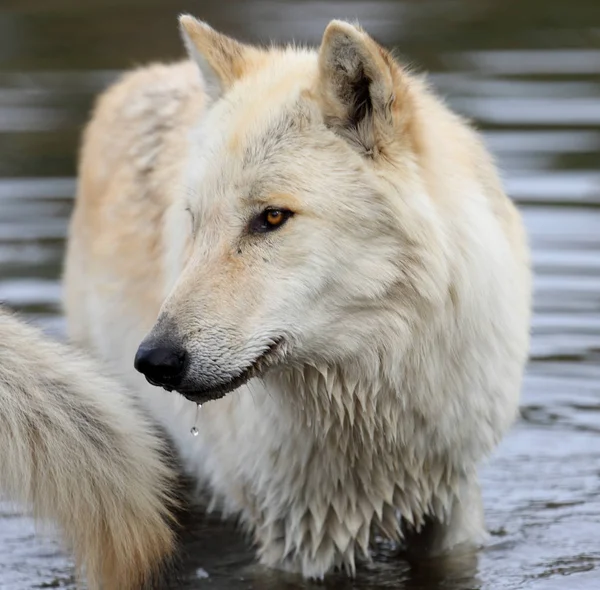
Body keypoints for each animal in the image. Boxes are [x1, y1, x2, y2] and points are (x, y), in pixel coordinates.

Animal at [61, 15, 528, 584]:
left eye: (273, 217)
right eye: (195, 221)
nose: (154, 361)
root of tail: (139, 78)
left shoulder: (455, 502)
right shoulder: (296, 533)